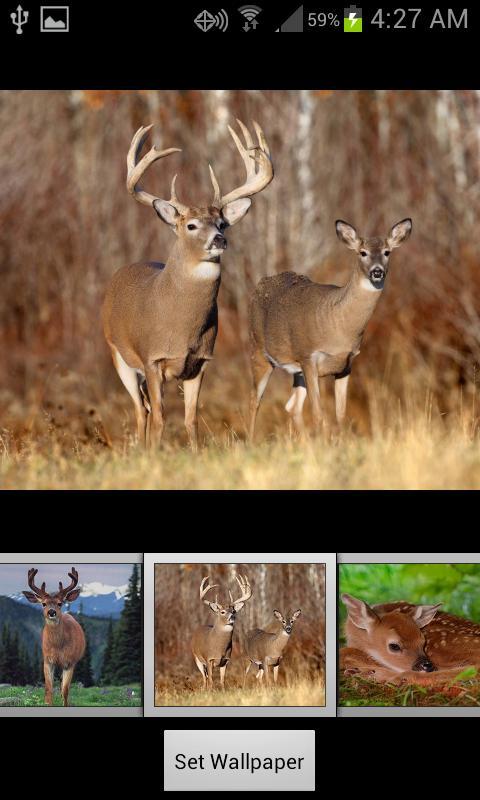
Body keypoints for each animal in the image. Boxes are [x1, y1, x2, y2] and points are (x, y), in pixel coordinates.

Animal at [22, 568, 85, 706]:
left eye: (60, 603)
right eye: (43, 604)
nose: (52, 612)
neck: (57, 647)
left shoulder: (70, 662)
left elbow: (65, 691)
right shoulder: (47, 660)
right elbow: (48, 689)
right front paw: (48, 703)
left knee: (62, 688)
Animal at [102, 120, 273, 451]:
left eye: (222, 223)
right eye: (191, 225)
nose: (219, 240)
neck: (181, 327)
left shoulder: (200, 362)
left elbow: (190, 419)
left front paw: (194, 453)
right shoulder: (152, 358)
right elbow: (160, 418)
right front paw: (155, 454)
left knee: (143, 408)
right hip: (118, 355)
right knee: (140, 410)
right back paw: (140, 450)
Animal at [248, 218, 412, 439]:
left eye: (387, 252)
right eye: (362, 252)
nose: (377, 271)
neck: (338, 325)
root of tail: (260, 284)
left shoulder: (346, 364)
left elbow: (340, 415)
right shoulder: (308, 357)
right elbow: (319, 415)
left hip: (296, 370)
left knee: (292, 406)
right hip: (259, 350)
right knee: (254, 400)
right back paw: (250, 441)